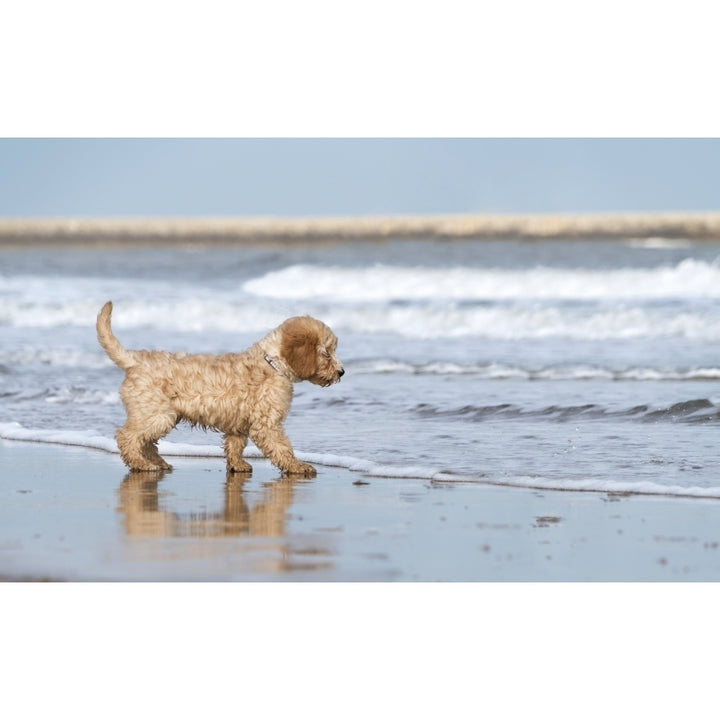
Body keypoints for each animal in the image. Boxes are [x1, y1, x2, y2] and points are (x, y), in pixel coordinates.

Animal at [97, 302, 344, 478]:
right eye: (326, 353)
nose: (341, 372)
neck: (272, 363)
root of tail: (135, 360)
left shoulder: (238, 423)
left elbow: (235, 445)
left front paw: (237, 464)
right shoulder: (267, 424)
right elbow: (282, 447)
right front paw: (297, 465)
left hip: (161, 415)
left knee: (146, 442)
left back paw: (157, 462)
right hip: (155, 413)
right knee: (127, 437)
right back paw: (141, 464)